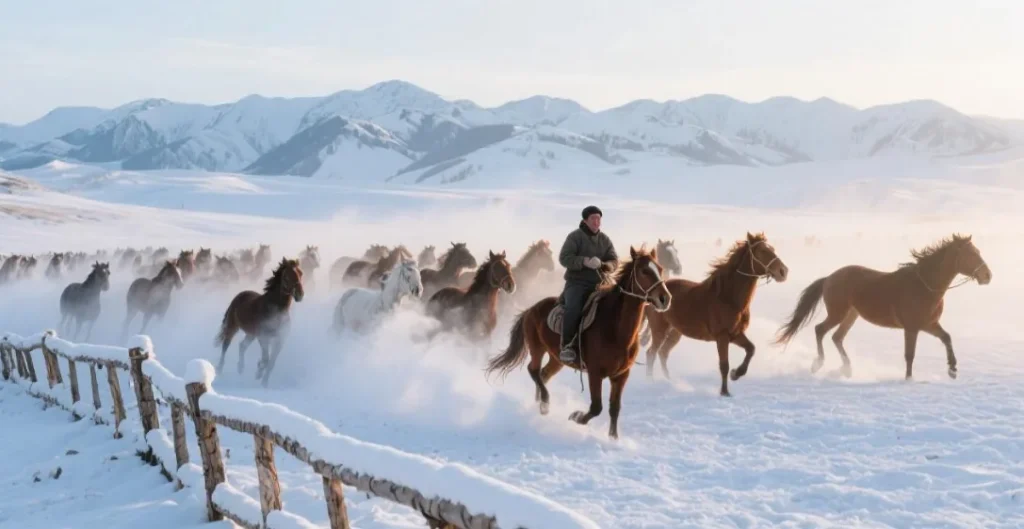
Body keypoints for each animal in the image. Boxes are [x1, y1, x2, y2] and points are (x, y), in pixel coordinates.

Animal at [215, 258, 305, 387]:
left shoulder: (279, 341)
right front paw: (258, 372)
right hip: (233, 327)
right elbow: (266, 359)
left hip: (251, 334)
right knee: (225, 345)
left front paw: (264, 383)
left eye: (301, 273)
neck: (276, 311)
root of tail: (239, 296)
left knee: (242, 346)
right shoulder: (263, 337)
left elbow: (271, 363)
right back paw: (219, 369)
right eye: (286, 276)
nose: (300, 295)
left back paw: (240, 368)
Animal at [485, 246, 672, 439]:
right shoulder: (595, 373)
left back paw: (539, 402)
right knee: (534, 370)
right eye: (644, 271)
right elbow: (596, 407)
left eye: (660, 269)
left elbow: (614, 408)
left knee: (544, 374)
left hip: (557, 359)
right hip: (537, 348)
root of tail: (530, 309)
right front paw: (576, 417)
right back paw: (544, 403)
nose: (665, 298)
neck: (615, 328)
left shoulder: (621, 375)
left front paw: (613, 438)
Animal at [643, 232, 789, 396]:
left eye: (772, 249)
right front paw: (725, 392)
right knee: (651, 353)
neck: (728, 297)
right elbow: (724, 365)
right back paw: (650, 382)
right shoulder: (722, 336)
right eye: (763, 251)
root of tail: (651, 294)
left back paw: (670, 381)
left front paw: (736, 374)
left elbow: (751, 349)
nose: (783, 271)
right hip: (659, 330)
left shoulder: (736, 334)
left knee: (663, 353)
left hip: (675, 332)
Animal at [774, 233, 991, 380]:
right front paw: (908, 379)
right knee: (820, 330)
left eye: (978, 252)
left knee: (837, 337)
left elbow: (947, 338)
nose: (988, 276)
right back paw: (818, 364)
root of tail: (829, 278)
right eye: (971, 254)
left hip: (851, 315)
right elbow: (909, 355)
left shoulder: (929, 324)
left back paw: (847, 369)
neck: (925, 286)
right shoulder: (912, 328)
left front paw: (952, 369)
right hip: (838, 313)